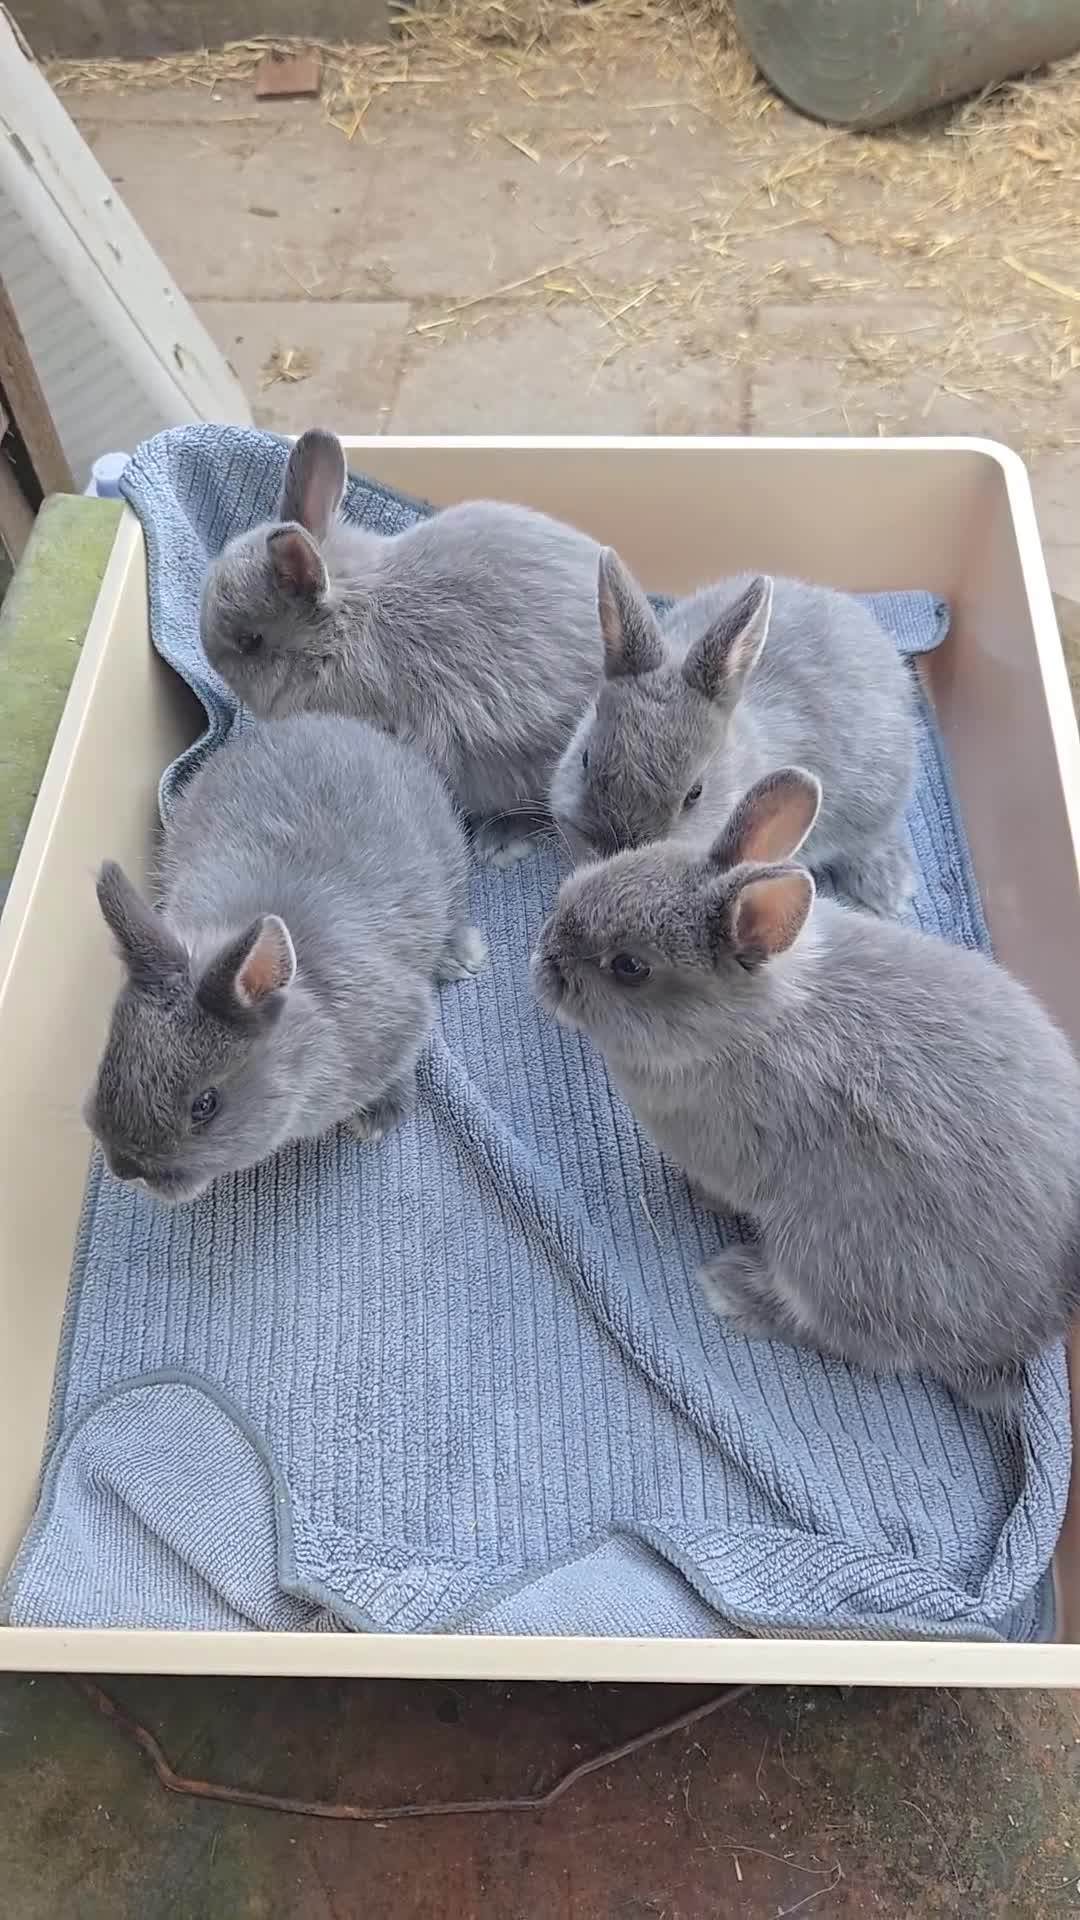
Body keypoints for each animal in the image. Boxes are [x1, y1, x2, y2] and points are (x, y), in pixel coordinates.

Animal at [85, 712, 486, 1205]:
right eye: (107, 1061)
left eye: (205, 1105)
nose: (125, 1169)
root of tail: (330, 721)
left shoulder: (402, 1020)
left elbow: (403, 1061)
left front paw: (380, 1118)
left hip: (448, 856)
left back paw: (460, 957)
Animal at [533, 765, 1080, 1411]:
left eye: (629, 966)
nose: (543, 962)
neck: (744, 1023)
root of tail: (1018, 1339)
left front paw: (704, 1200)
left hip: (831, 1257)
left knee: (850, 1338)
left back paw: (731, 1287)